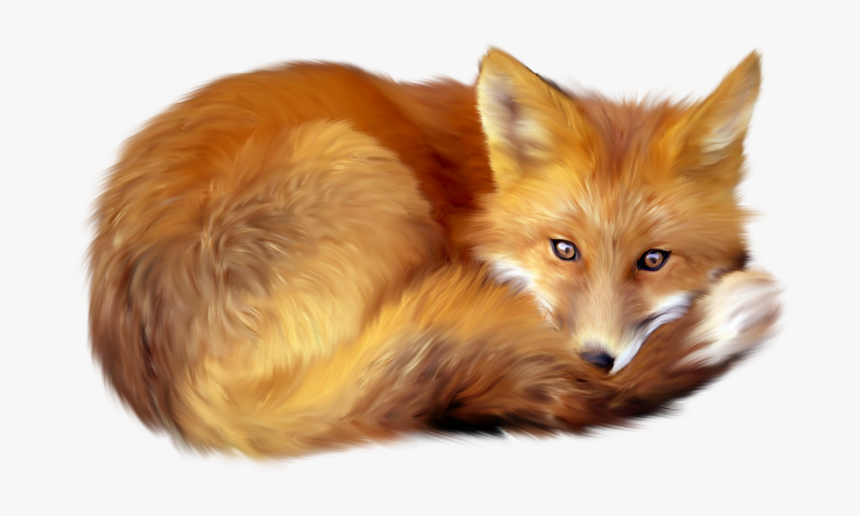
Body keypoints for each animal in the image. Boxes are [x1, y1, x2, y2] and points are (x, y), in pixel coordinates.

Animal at [88, 48, 781, 458]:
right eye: (564, 250)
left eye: (654, 260)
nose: (595, 361)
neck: (481, 185)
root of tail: (181, 401)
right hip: (355, 161)